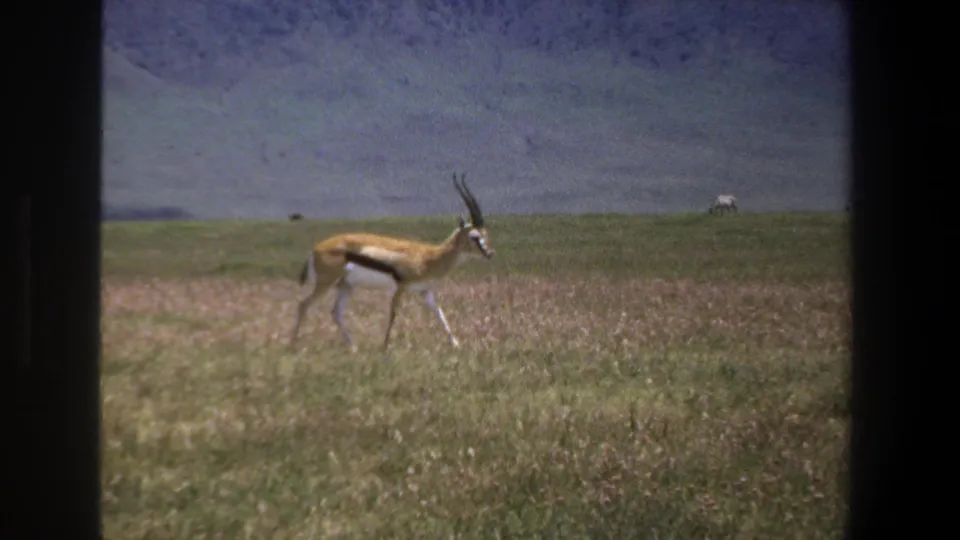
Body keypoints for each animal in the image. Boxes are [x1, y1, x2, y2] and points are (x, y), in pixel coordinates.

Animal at [289, 173, 494, 352]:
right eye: (474, 236)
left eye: (485, 234)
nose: (490, 253)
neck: (429, 257)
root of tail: (316, 248)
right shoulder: (400, 287)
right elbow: (393, 314)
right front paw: (385, 347)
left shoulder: (425, 292)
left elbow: (440, 314)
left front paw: (457, 344)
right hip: (325, 283)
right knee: (303, 304)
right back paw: (293, 346)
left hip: (346, 285)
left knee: (335, 312)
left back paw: (353, 347)